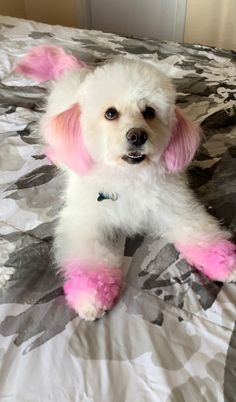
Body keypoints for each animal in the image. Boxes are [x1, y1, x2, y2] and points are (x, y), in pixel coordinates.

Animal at [17, 45, 236, 320]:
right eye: (111, 113)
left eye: (149, 112)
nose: (137, 135)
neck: (129, 176)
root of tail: (74, 73)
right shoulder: (84, 222)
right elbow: (89, 258)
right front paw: (91, 295)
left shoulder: (177, 207)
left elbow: (199, 233)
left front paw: (224, 261)